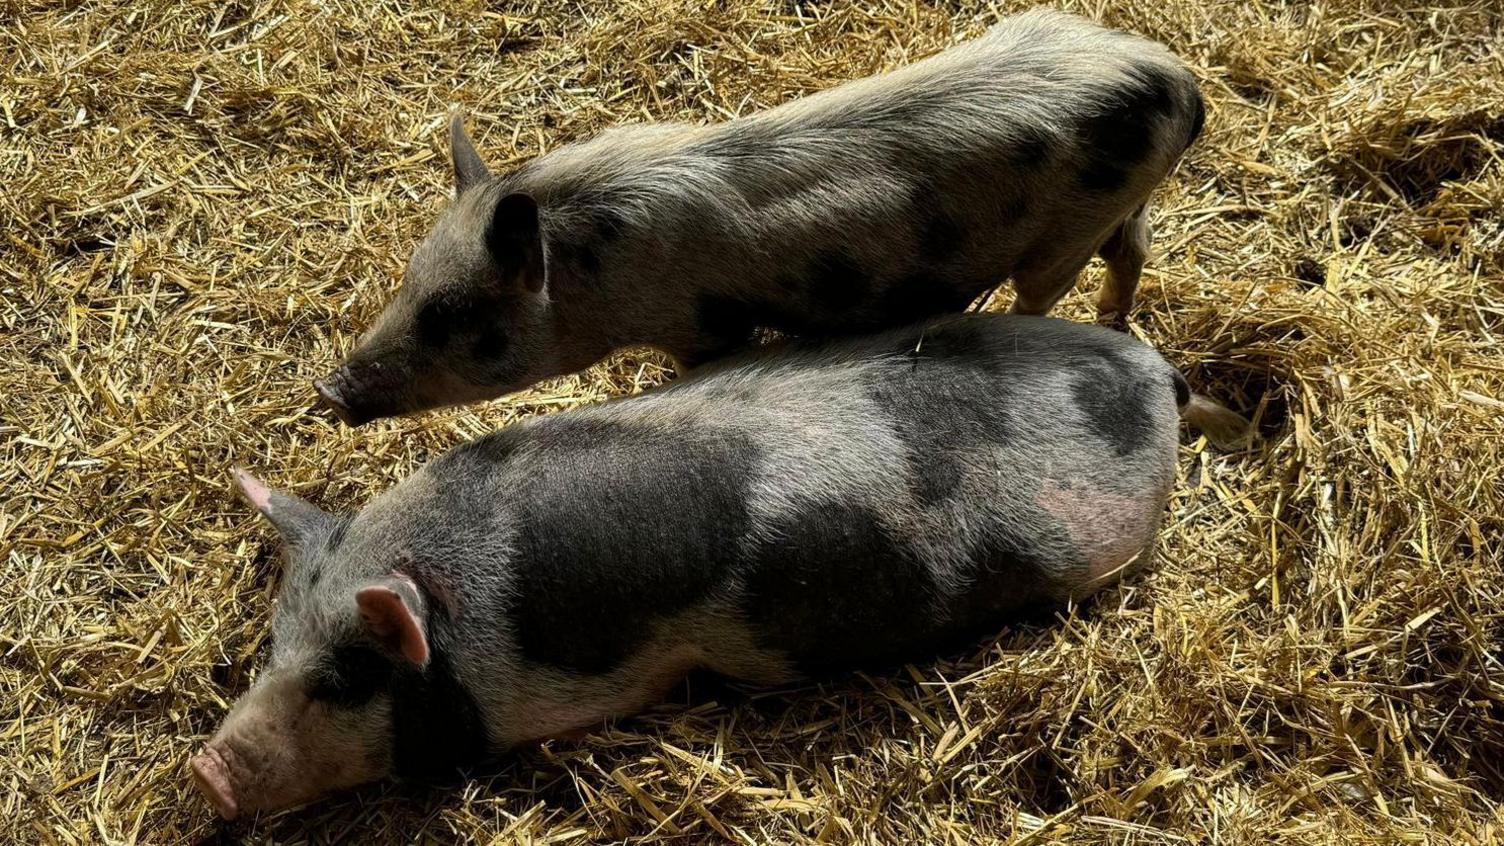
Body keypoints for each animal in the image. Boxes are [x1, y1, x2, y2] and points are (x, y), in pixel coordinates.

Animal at [311, 8, 1203, 421]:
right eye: (407, 283)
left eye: (457, 319)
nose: (329, 387)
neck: (598, 260)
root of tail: (1180, 82)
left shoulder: (705, 322)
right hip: (1118, 204)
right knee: (1134, 250)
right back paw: (1114, 316)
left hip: (1064, 235)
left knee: (1049, 290)